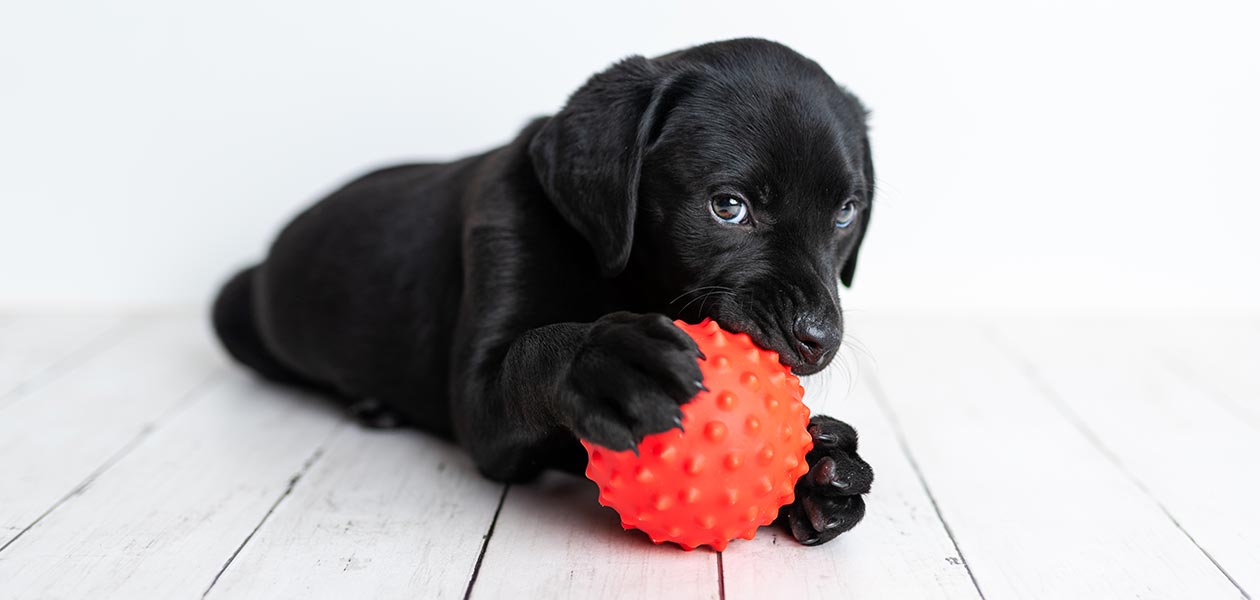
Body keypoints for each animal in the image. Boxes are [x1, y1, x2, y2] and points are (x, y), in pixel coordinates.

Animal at [209, 36, 876, 544]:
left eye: (846, 213)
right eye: (729, 207)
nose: (817, 339)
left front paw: (818, 474)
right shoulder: (482, 402)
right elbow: (528, 359)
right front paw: (607, 363)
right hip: (232, 306)